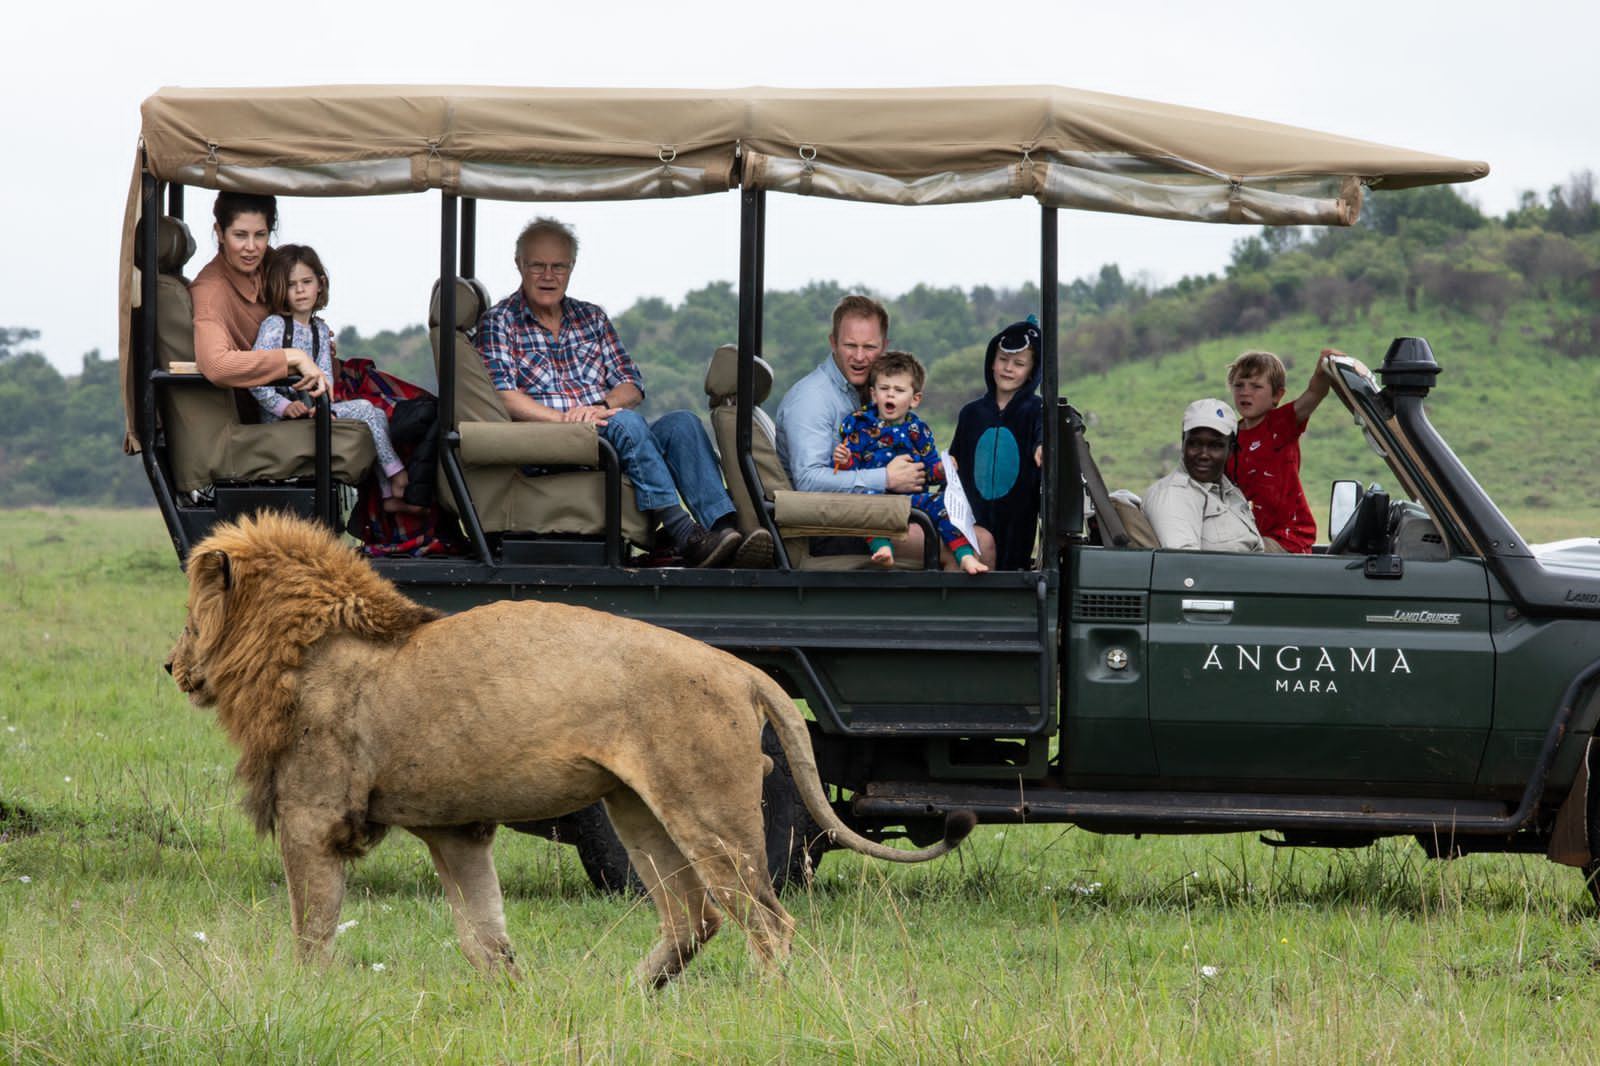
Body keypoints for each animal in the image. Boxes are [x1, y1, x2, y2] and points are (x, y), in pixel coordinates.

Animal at [172, 512, 972, 985]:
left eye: (187, 617)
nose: (169, 664)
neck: (306, 647)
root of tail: (742, 669)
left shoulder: (312, 818)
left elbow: (312, 932)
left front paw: (304, 997)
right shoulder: (453, 829)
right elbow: (485, 936)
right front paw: (510, 1004)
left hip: (711, 812)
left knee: (767, 921)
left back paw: (759, 1004)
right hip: (638, 810)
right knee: (694, 916)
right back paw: (627, 996)